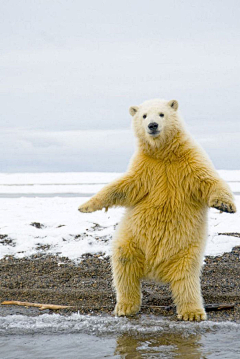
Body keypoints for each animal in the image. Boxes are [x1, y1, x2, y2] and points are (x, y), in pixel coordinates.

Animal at [79, 99, 236, 324]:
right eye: (144, 115)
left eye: (161, 114)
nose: (152, 125)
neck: (164, 154)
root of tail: (155, 271)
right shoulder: (145, 168)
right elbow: (122, 187)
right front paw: (85, 206)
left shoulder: (190, 162)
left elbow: (209, 181)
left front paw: (226, 205)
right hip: (132, 239)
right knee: (124, 265)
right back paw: (125, 306)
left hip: (186, 250)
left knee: (186, 278)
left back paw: (193, 312)